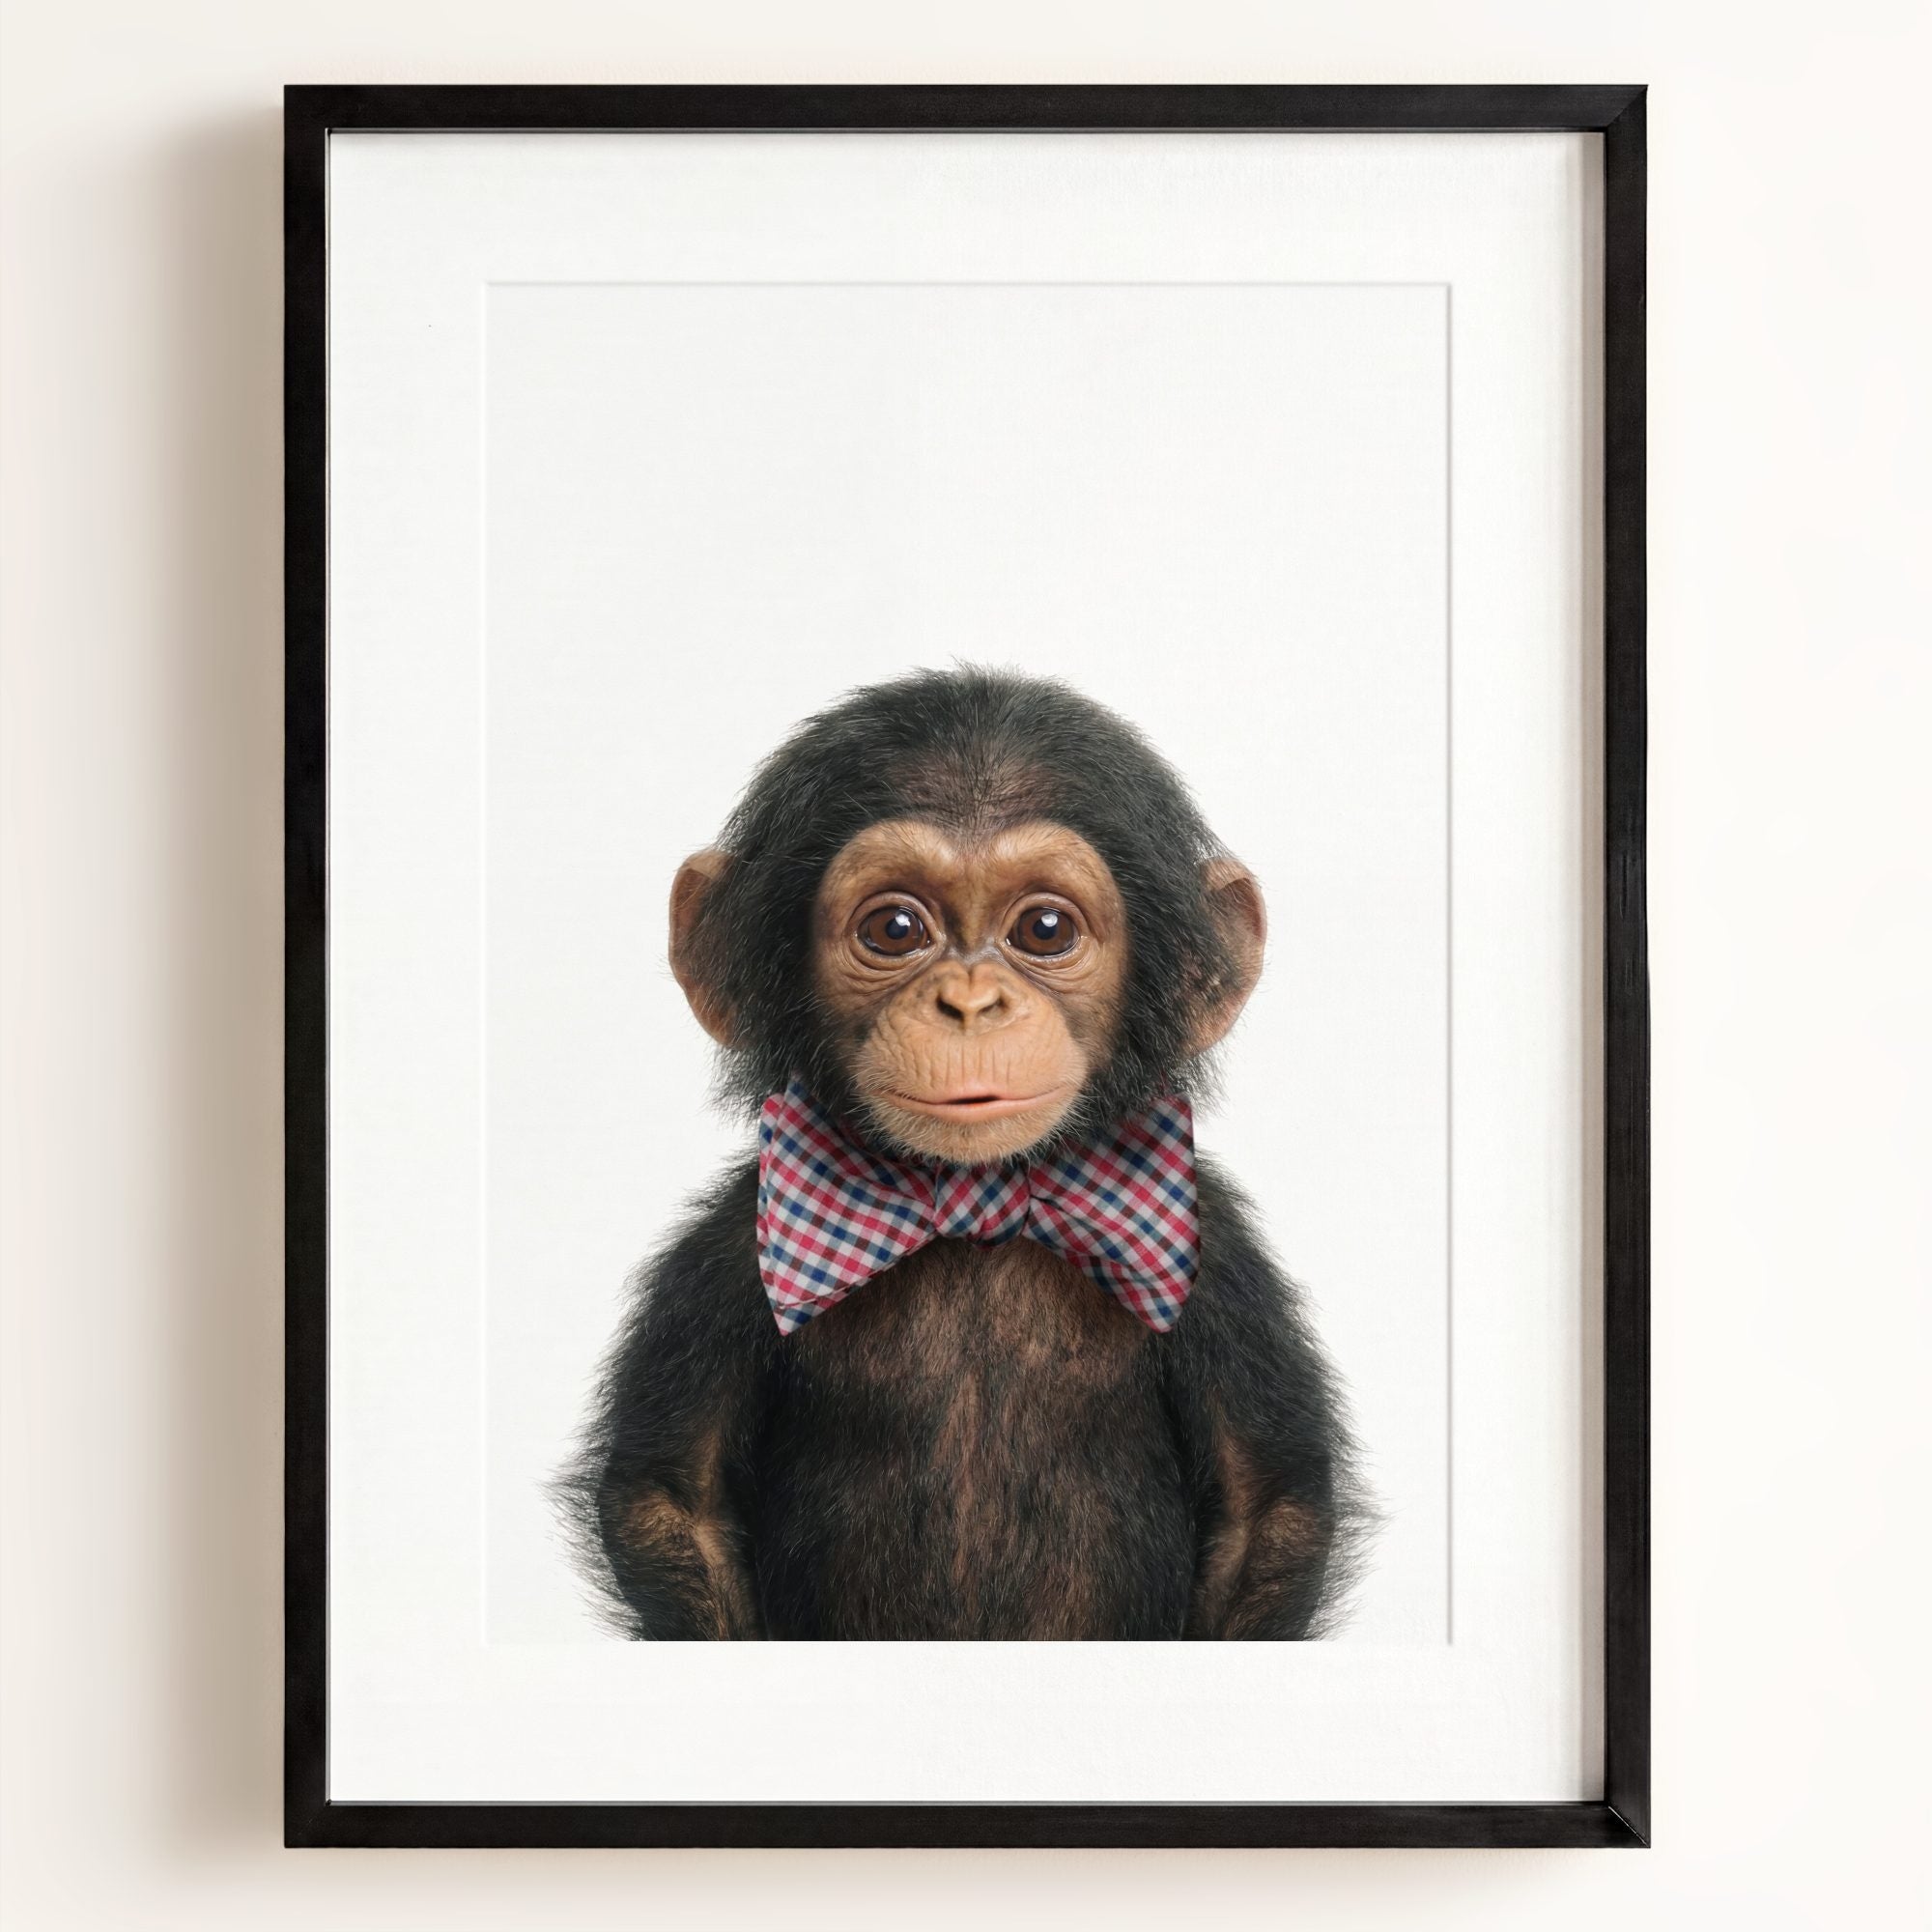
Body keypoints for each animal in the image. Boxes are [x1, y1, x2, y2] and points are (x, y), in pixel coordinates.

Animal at [565, 667, 1364, 1639]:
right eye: (896, 929)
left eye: (1046, 929)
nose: (972, 1003)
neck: (974, 1204)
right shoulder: (723, 1257)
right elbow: (673, 1501)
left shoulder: (1219, 1266)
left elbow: (1266, 1511)